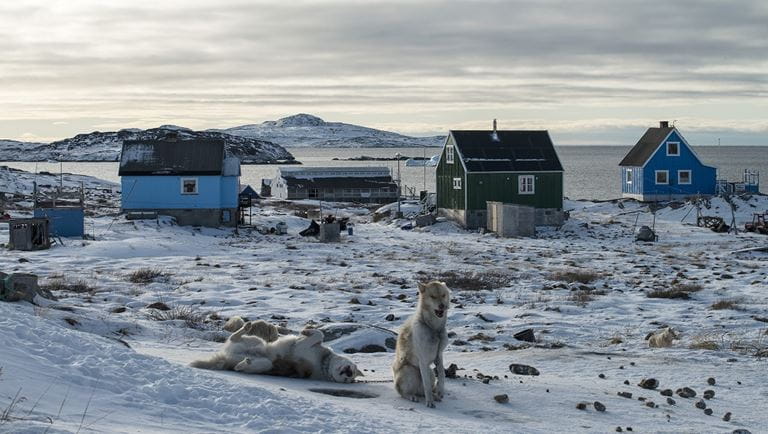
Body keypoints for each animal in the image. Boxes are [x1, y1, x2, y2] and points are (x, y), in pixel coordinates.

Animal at [190, 318, 362, 384]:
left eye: (350, 378)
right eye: (353, 369)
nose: (348, 373)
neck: (323, 365)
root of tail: (226, 359)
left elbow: (319, 335)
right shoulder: (306, 344)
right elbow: (319, 334)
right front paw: (306, 330)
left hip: (264, 360)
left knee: (249, 362)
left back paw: (244, 363)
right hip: (257, 341)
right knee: (235, 337)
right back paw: (246, 327)